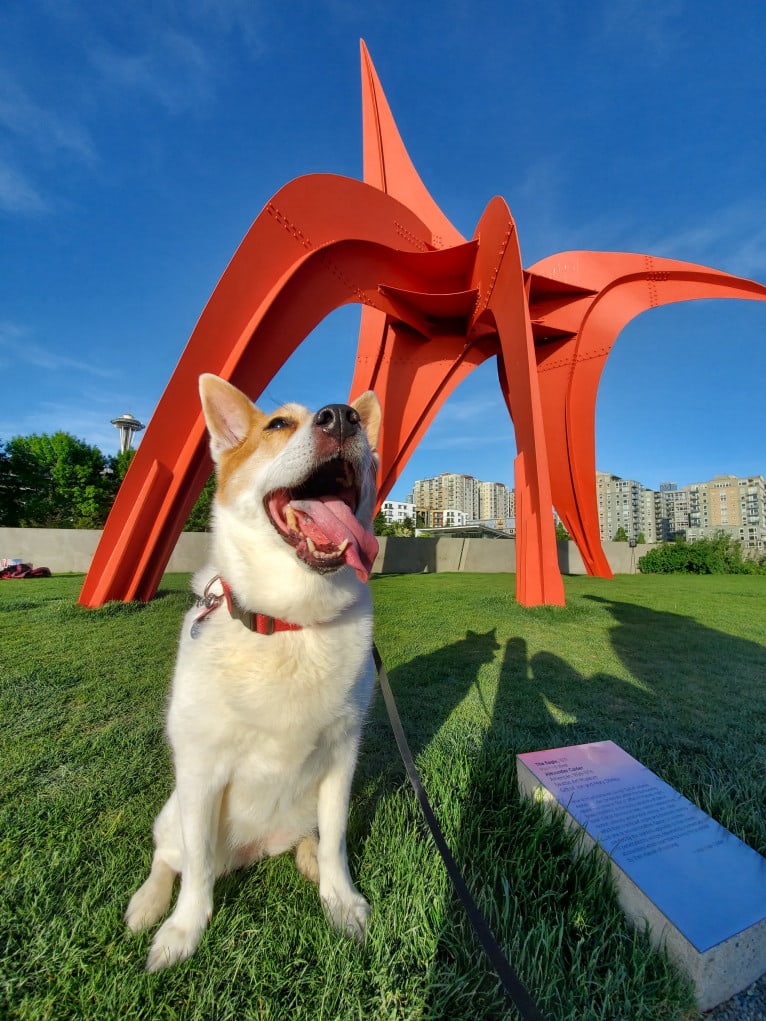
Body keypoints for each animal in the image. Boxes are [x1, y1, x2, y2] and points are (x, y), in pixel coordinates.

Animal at [125, 375, 384, 971]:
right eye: (277, 425)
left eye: (357, 424)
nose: (342, 418)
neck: (289, 624)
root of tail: (254, 851)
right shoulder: (200, 771)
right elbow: (195, 871)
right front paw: (182, 931)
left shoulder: (343, 757)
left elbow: (337, 840)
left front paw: (341, 900)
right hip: (174, 810)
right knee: (168, 856)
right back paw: (147, 903)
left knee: (311, 837)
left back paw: (307, 858)